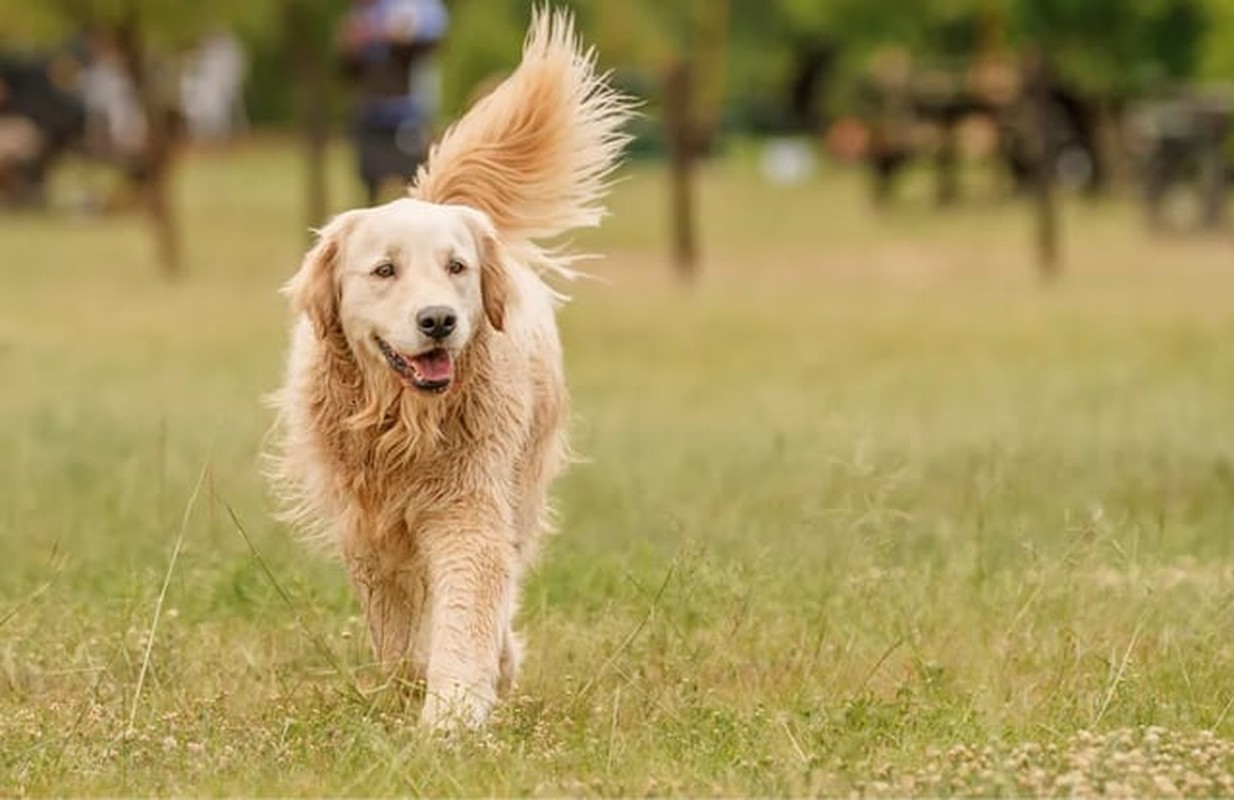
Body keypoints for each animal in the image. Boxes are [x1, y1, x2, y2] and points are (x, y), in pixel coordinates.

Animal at [271, 7, 636, 730]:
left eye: (456, 267)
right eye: (385, 270)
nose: (439, 319)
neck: (403, 421)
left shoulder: (470, 511)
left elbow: (466, 614)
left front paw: (452, 716)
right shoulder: (370, 529)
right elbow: (400, 630)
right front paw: (414, 689)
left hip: (522, 484)